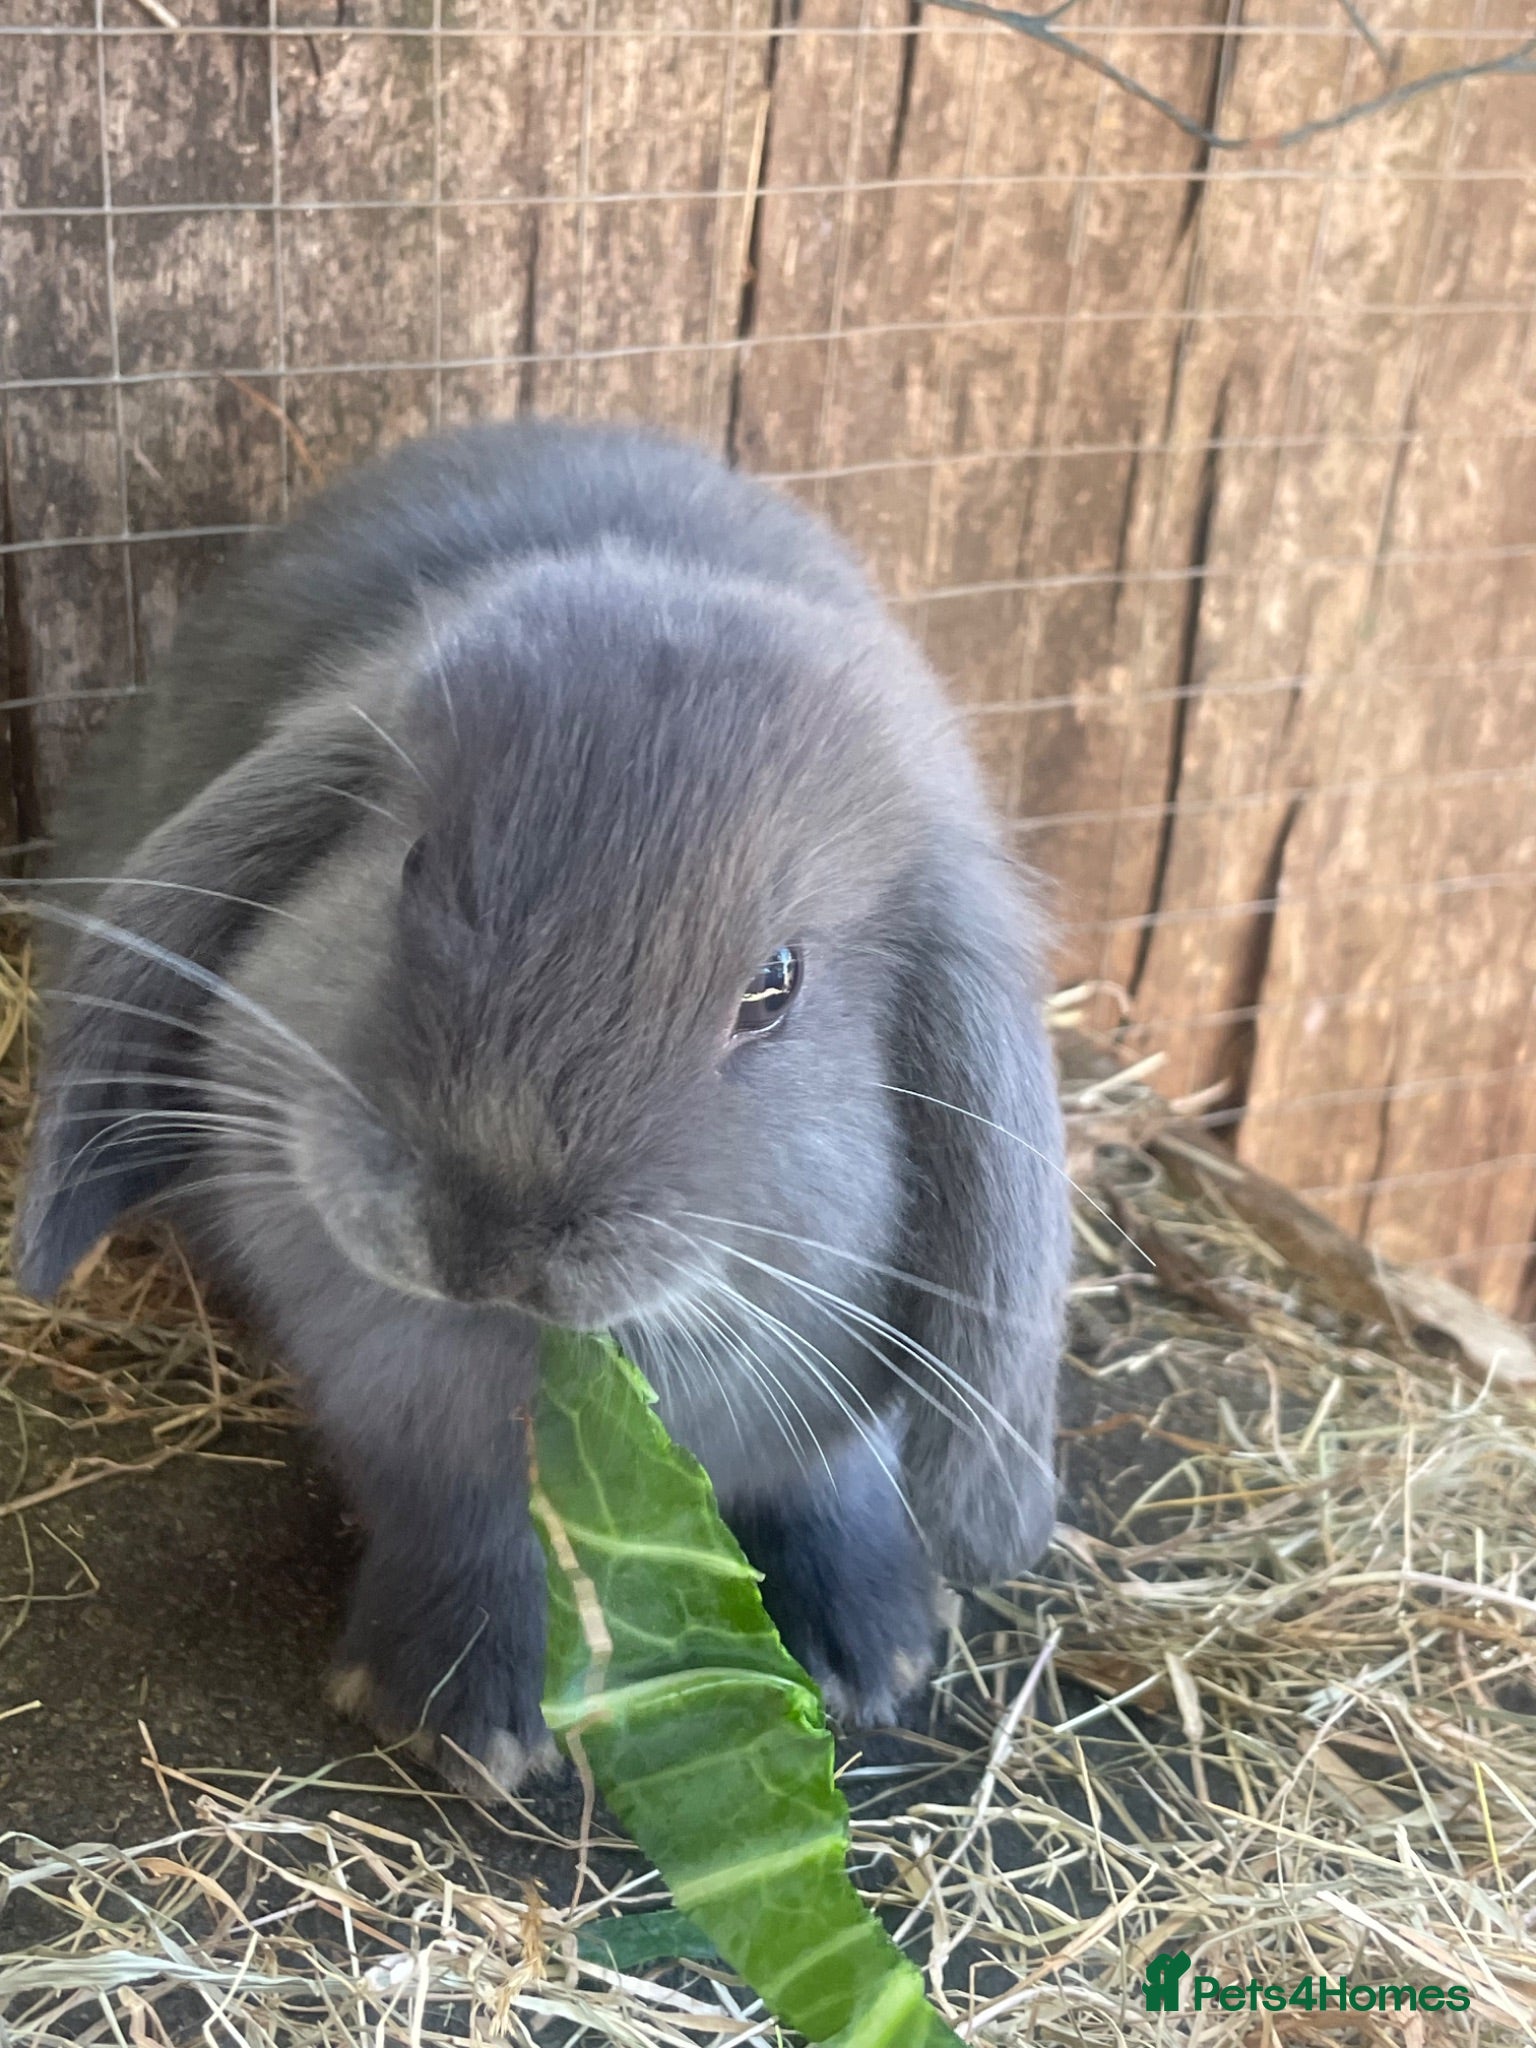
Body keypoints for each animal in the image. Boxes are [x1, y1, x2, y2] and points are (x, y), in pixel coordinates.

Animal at [12, 419, 1071, 1797]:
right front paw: (461, 1718)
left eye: (774, 984)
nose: (484, 1233)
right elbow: (469, 1524)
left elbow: (830, 1482)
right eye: (410, 867)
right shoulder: (409, 1410)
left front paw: (877, 1648)